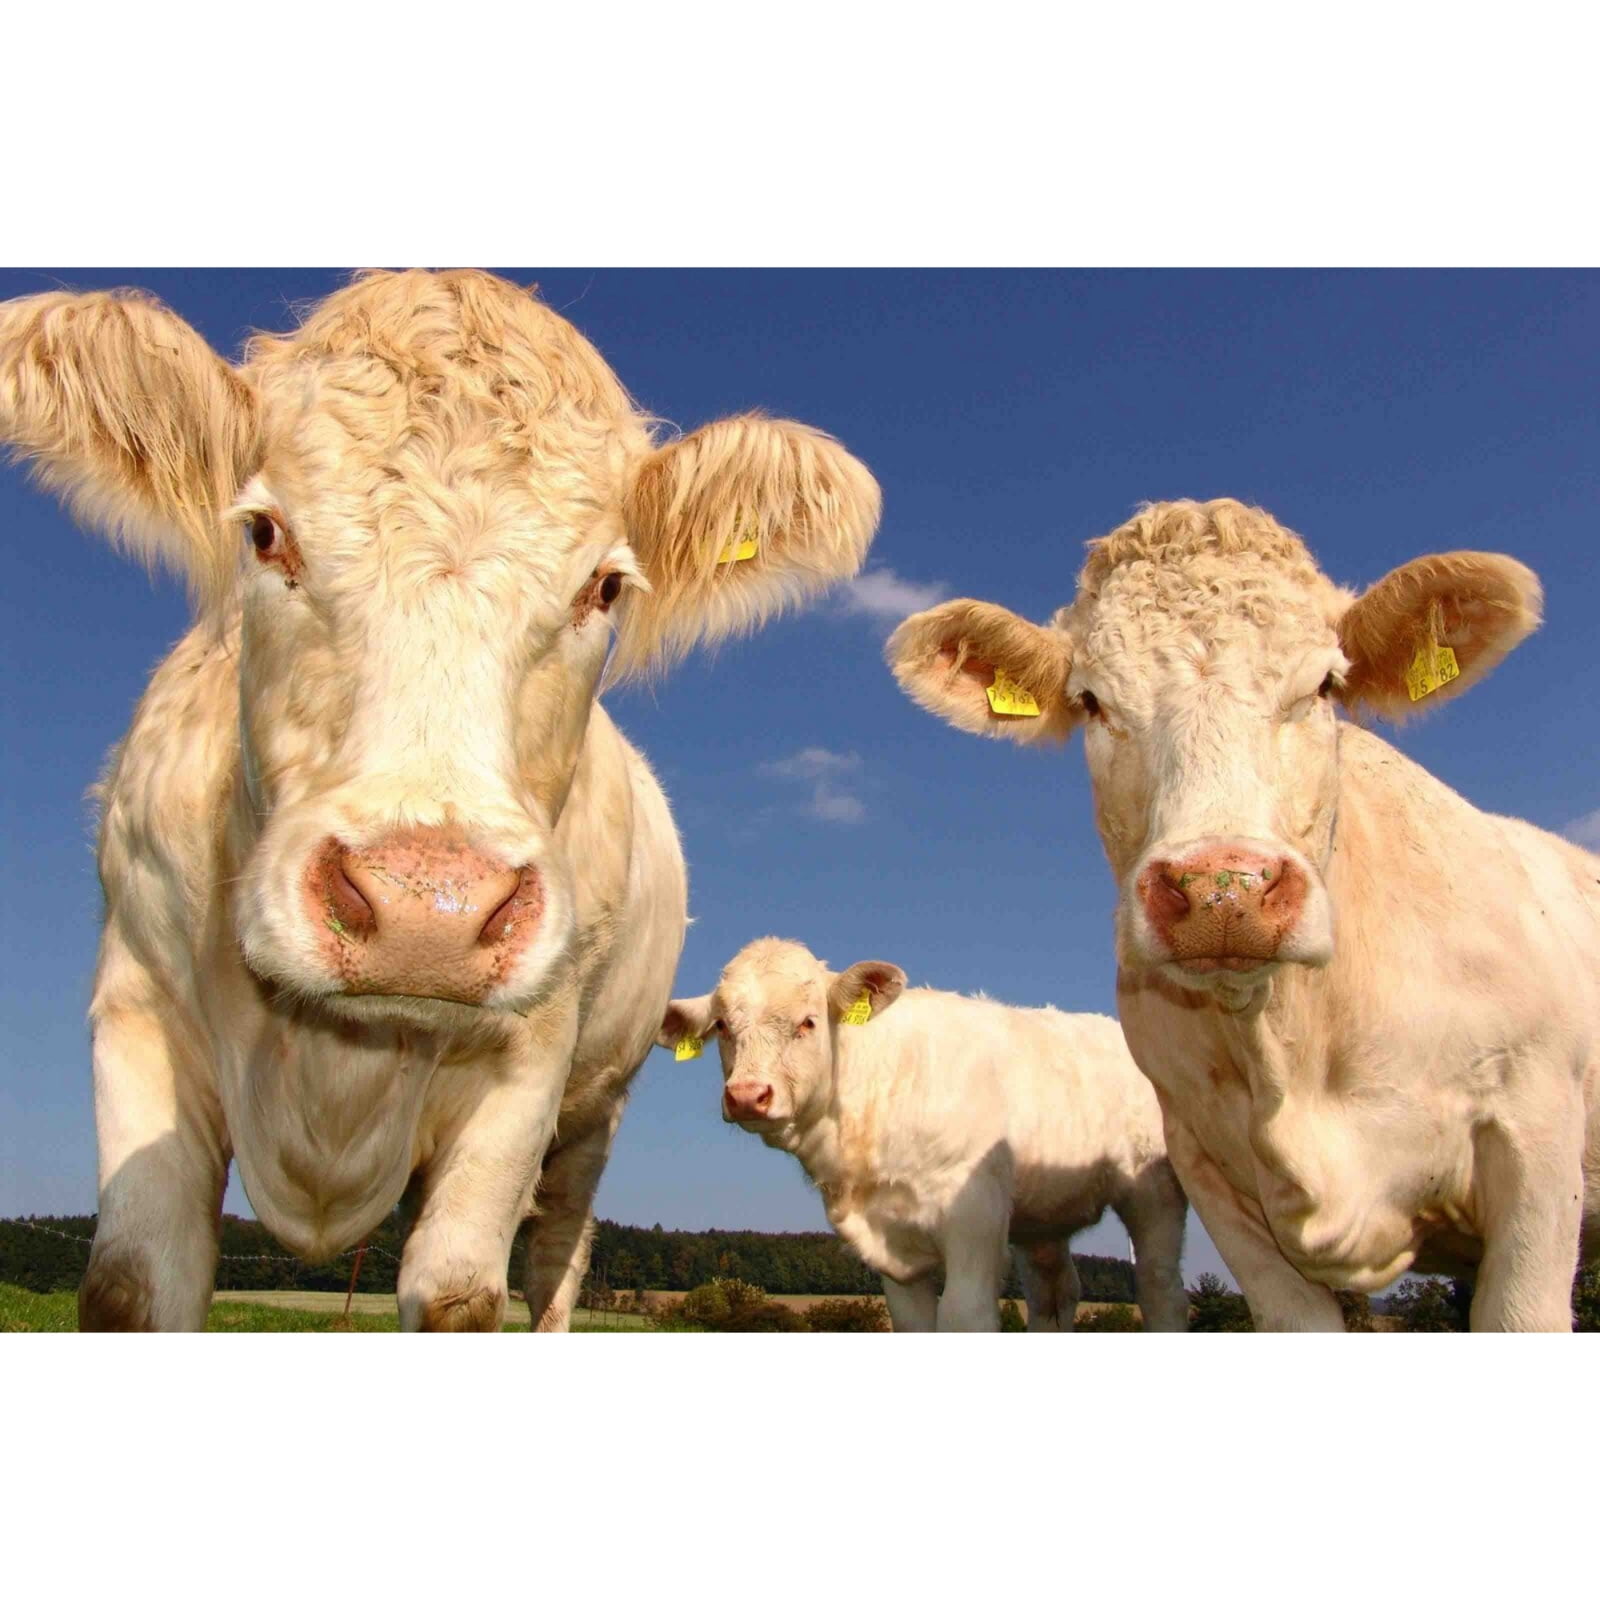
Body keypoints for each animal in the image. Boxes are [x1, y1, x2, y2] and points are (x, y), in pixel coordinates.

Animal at [0, 270, 880, 1331]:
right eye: (265, 533)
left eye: (605, 587)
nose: (428, 911)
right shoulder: (138, 1010)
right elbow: (131, 1284)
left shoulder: (529, 1065)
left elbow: (462, 1294)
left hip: (591, 1116)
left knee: (553, 1266)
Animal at [658, 938, 1190, 1331]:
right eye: (723, 1026)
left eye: (808, 1021)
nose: (747, 1095)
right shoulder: (893, 1252)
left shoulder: (975, 1218)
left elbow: (966, 1315)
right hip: (1042, 1217)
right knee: (1054, 1295)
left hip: (1154, 1191)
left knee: (1160, 1287)